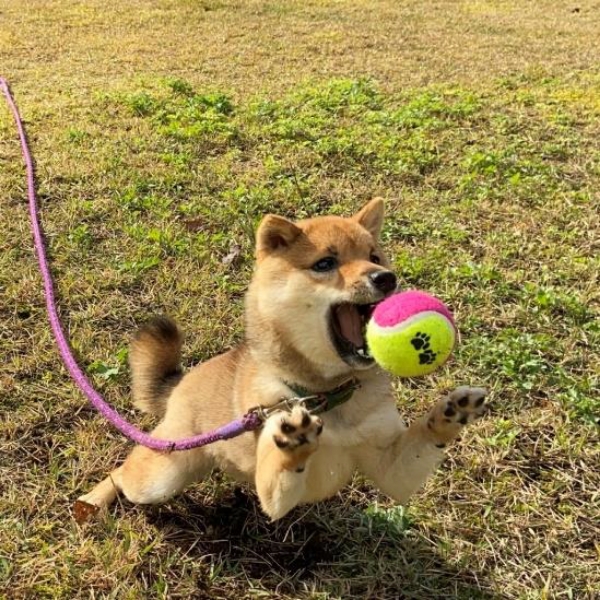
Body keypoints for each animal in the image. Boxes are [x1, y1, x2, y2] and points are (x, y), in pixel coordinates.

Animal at [77, 200, 488, 520]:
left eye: (374, 257)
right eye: (325, 264)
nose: (386, 277)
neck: (328, 395)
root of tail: (182, 383)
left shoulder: (389, 467)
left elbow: (419, 442)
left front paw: (450, 414)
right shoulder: (275, 494)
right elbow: (280, 472)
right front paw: (293, 442)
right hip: (161, 474)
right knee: (123, 473)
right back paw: (93, 500)